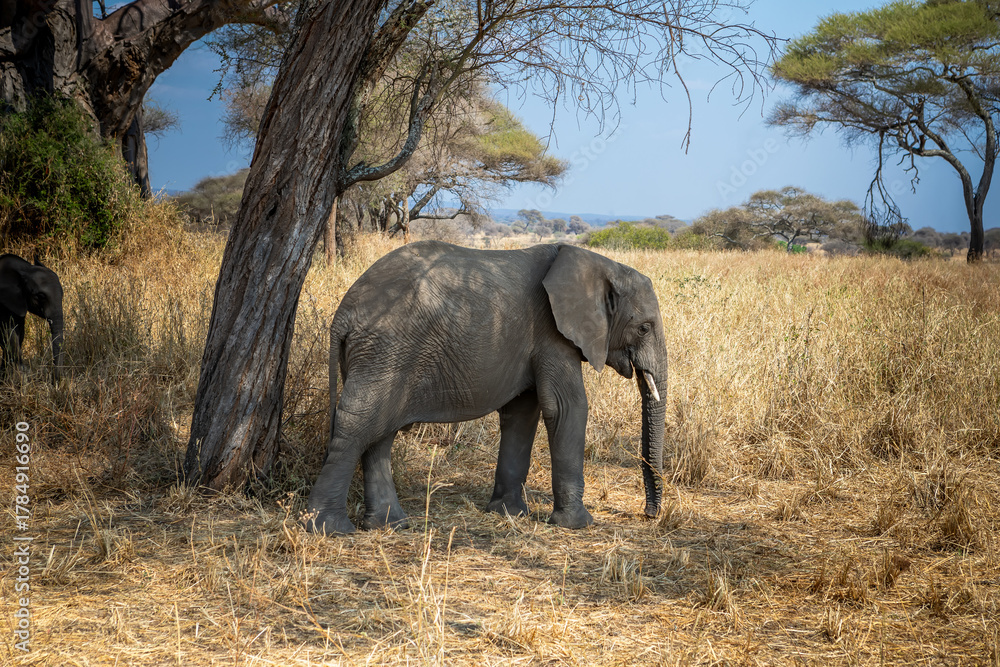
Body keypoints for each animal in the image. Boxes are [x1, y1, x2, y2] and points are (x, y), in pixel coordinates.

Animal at [305, 241, 667, 535]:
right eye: (644, 328)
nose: (648, 514)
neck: (601, 264)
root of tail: (343, 314)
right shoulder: (553, 334)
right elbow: (567, 407)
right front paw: (578, 524)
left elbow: (523, 412)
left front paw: (509, 514)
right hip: (386, 351)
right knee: (359, 424)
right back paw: (328, 529)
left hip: (379, 356)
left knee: (379, 431)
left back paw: (390, 525)